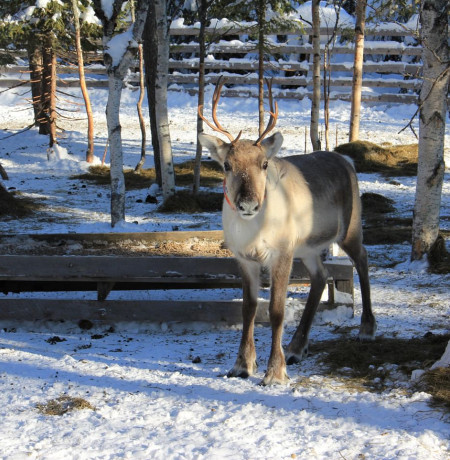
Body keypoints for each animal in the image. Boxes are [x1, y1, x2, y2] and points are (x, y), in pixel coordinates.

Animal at [198, 78, 377, 386]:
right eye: (227, 165)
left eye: (264, 164)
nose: (248, 203)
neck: (252, 230)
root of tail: (347, 161)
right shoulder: (244, 258)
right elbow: (248, 309)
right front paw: (242, 365)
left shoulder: (281, 252)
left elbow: (276, 311)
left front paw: (274, 372)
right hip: (308, 247)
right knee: (321, 276)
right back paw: (296, 347)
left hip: (349, 230)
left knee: (363, 259)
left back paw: (366, 328)